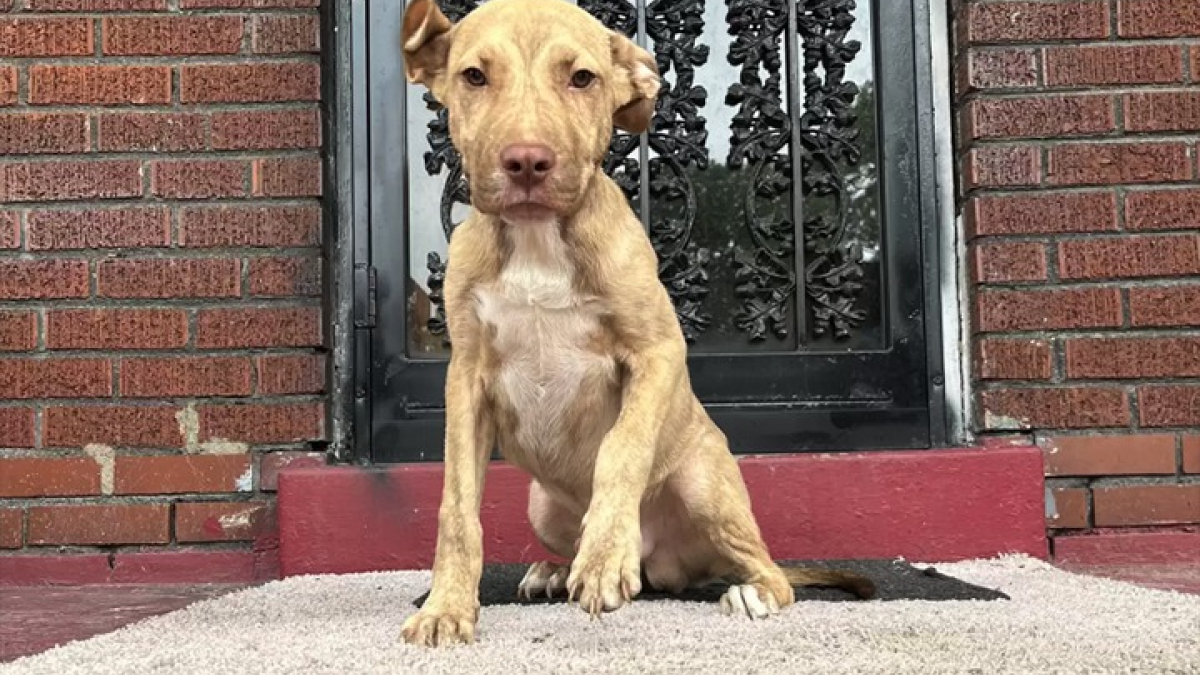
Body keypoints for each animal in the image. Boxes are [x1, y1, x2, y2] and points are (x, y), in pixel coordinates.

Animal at [398, 0, 878, 648]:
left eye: (582, 78)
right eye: (474, 76)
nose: (527, 161)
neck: (537, 239)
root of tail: (665, 563)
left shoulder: (658, 350)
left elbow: (621, 448)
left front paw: (604, 556)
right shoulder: (466, 378)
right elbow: (456, 507)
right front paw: (446, 607)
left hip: (704, 483)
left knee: (772, 571)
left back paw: (745, 592)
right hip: (541, 506)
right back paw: (556, 570)